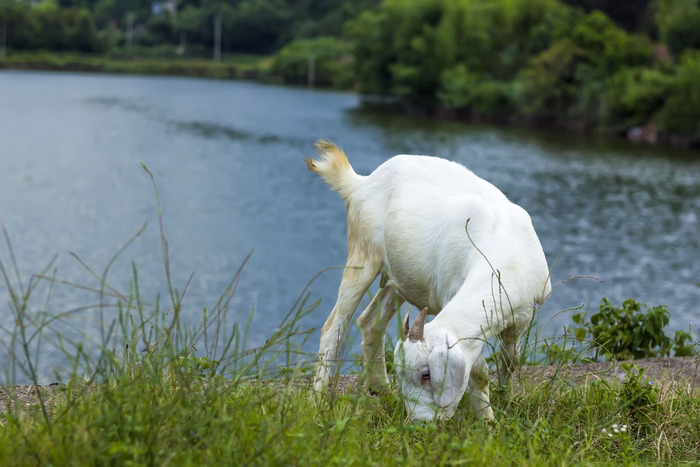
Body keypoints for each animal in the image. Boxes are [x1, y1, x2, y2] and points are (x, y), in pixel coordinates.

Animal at [306, 141, 552, 422]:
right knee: (333, 327)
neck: (503, 252)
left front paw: (506, 400)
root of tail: (363, 182)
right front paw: (488, 421)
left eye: (426, 375)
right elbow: (478, 371)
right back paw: (316, 402)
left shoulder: (522, 315)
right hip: (363, 253)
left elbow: (511, 359)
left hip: (399, 278)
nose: (418, 424)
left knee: (370, 321)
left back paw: (382, 390)